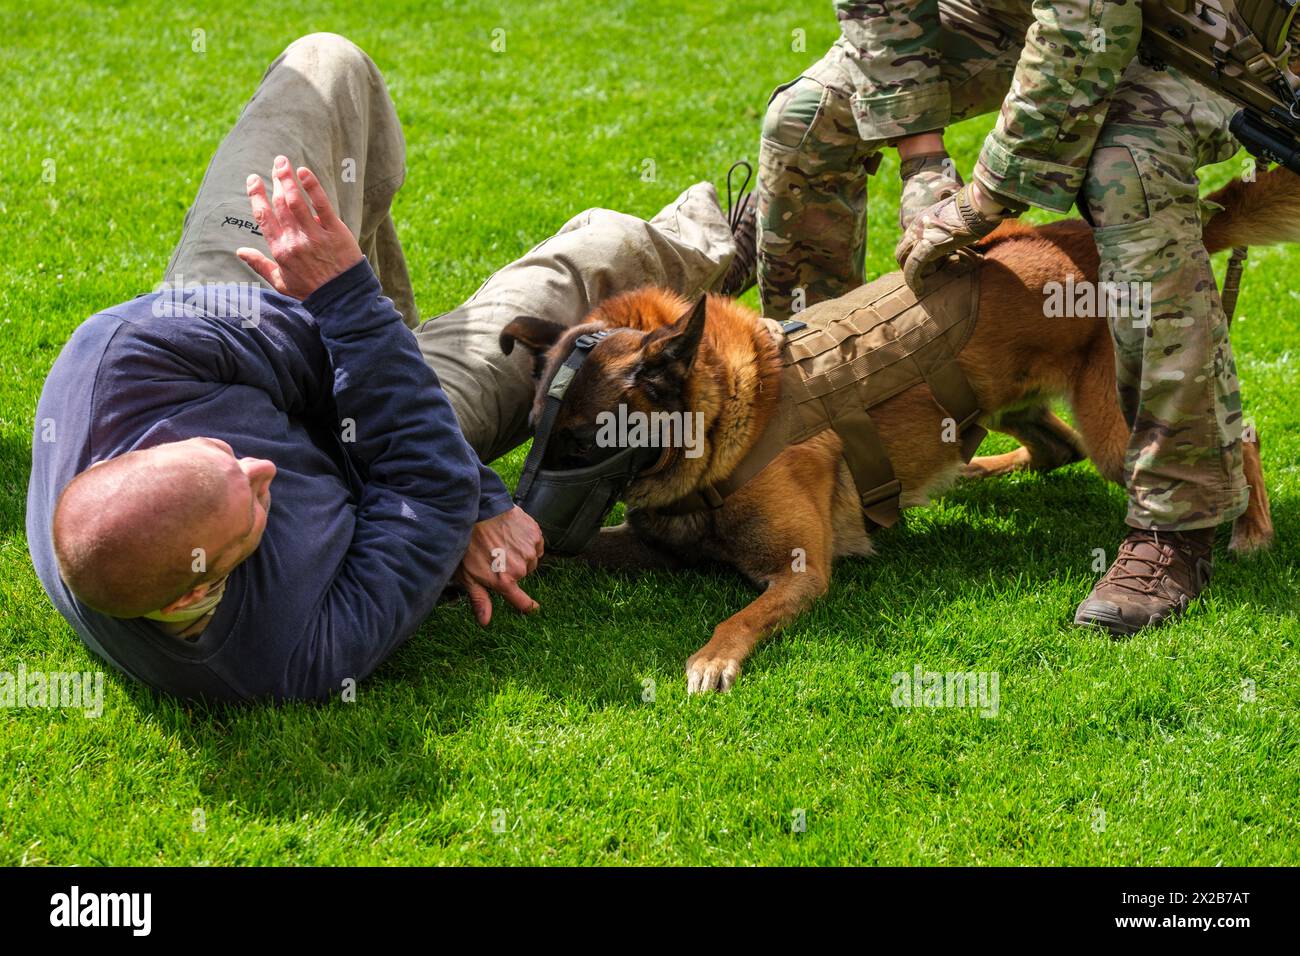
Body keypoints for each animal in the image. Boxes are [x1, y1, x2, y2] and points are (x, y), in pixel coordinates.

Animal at [501, 170, 1294, 697]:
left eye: (583, 442)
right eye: (537, 432)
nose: (529, 525)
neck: (730, 415)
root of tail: (1088, 238)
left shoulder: (799, 573)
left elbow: (737, 618)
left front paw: (712, 658)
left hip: (1117, 426)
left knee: (1233, 439)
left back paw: (1252, 528)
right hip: (1010, 405)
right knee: (1051, 448)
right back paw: (965, 475)